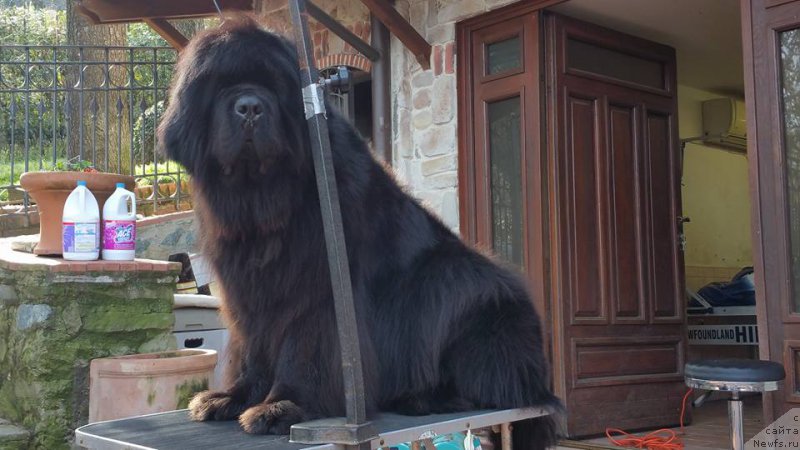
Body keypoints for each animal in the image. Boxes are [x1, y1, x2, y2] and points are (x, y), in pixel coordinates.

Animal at [159, 15, 560, 448]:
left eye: (272, 86)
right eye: (221, 87)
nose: (250, 107)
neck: (266, 199)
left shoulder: (320, 289)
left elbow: (306, 346)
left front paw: (284, 406)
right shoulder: (248, 293)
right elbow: (251, 348)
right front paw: (232, 397)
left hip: (464, 285)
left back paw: (422, 397)